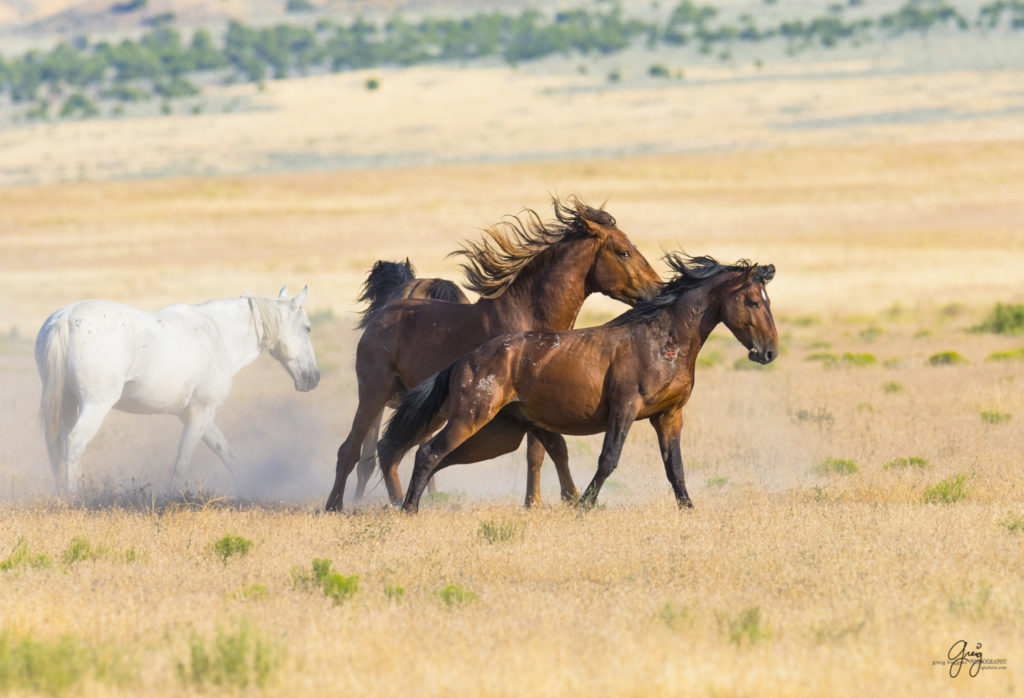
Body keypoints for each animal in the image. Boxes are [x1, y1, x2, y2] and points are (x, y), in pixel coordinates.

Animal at [35, 284, 319, 491]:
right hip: (95, 406)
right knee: (75, 442)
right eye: (307, 328)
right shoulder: (199, 415)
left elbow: (229, 456)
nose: (314, 377)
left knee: (57, 446)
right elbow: (181, 463)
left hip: (67, 404)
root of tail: (66, 318)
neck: (217, 334)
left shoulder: (200, 417)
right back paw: (74, 497)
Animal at [382, 253, 774, 511]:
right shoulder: (625, 408)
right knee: (429, 452)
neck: (663, 341)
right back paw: (408, 510)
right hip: (471, 418)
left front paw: (687, 508)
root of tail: (465, 361)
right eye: (753, 301)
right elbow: (608, 459)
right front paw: (584, 505)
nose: (768, 352)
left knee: (438, 457)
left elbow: (674, 467)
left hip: (497, 435)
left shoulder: (669, 416)